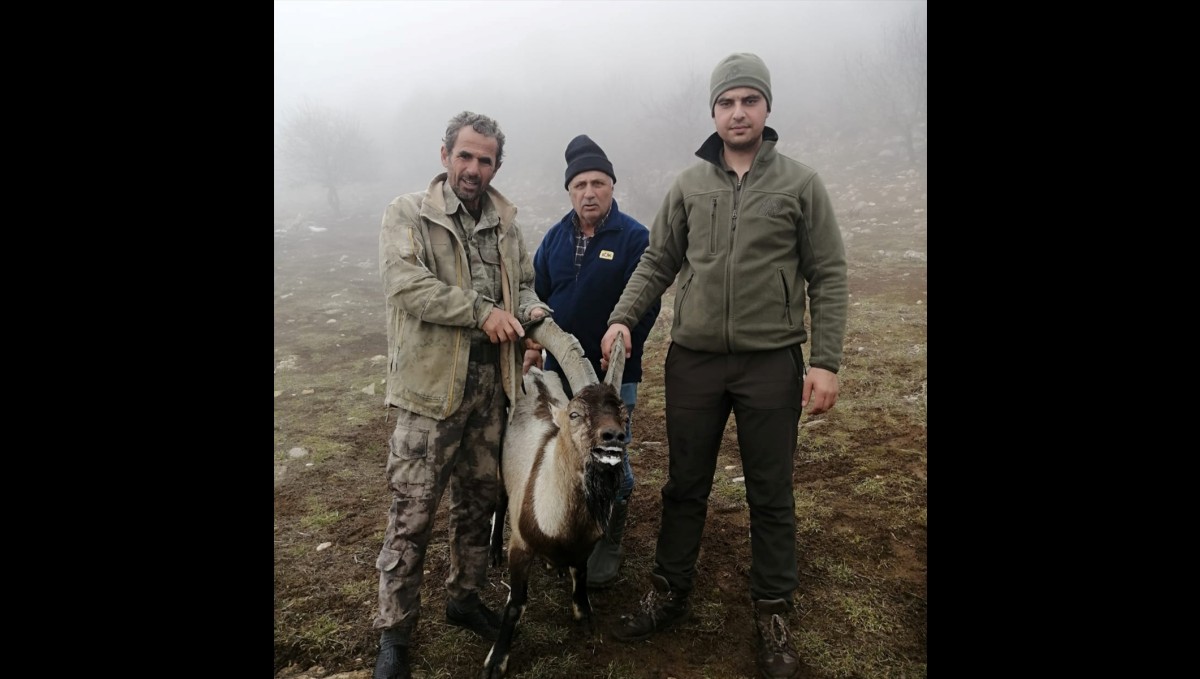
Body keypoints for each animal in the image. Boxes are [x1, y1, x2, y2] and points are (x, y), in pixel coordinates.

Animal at [482, 319, 628, 679]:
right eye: (575, 414)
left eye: (624, 416)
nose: (613, 438)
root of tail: (534, 373)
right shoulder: (521, 546)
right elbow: (516, 603)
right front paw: (496, 661)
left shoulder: (584, 546)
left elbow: (582, 576)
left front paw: (585, 616)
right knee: (500, 502)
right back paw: (492, 552)